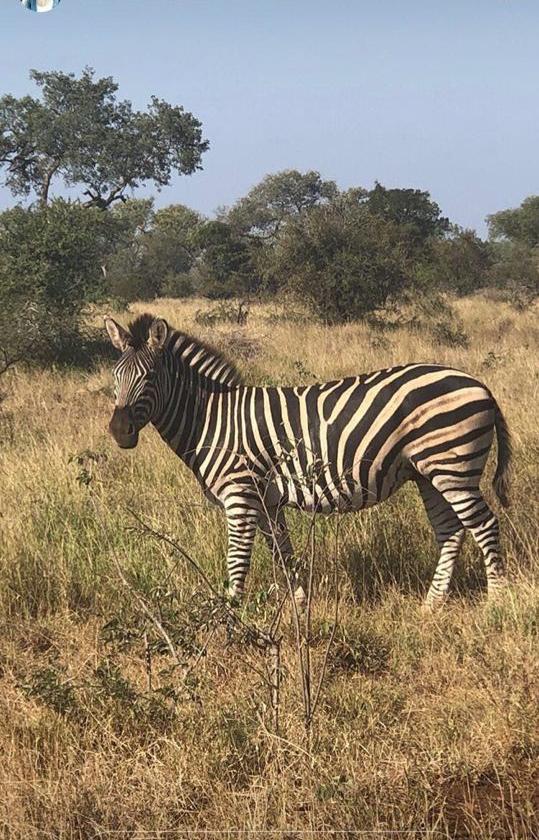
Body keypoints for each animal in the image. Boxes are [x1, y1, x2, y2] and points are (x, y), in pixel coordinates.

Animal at [104, 312, 510, 608]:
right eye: (116, 375)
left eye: (150, 377)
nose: (119, 430)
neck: (212, 419)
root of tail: (480, 384)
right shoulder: (266, 501)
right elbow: (282, 552)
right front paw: (300, 602)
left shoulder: (240, 494)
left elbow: (238, 558)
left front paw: (230, 614)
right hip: (428, 473)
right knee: (451, 531)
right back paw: (432, 605)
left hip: (453, 468)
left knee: (484, 525)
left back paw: (497, 603)